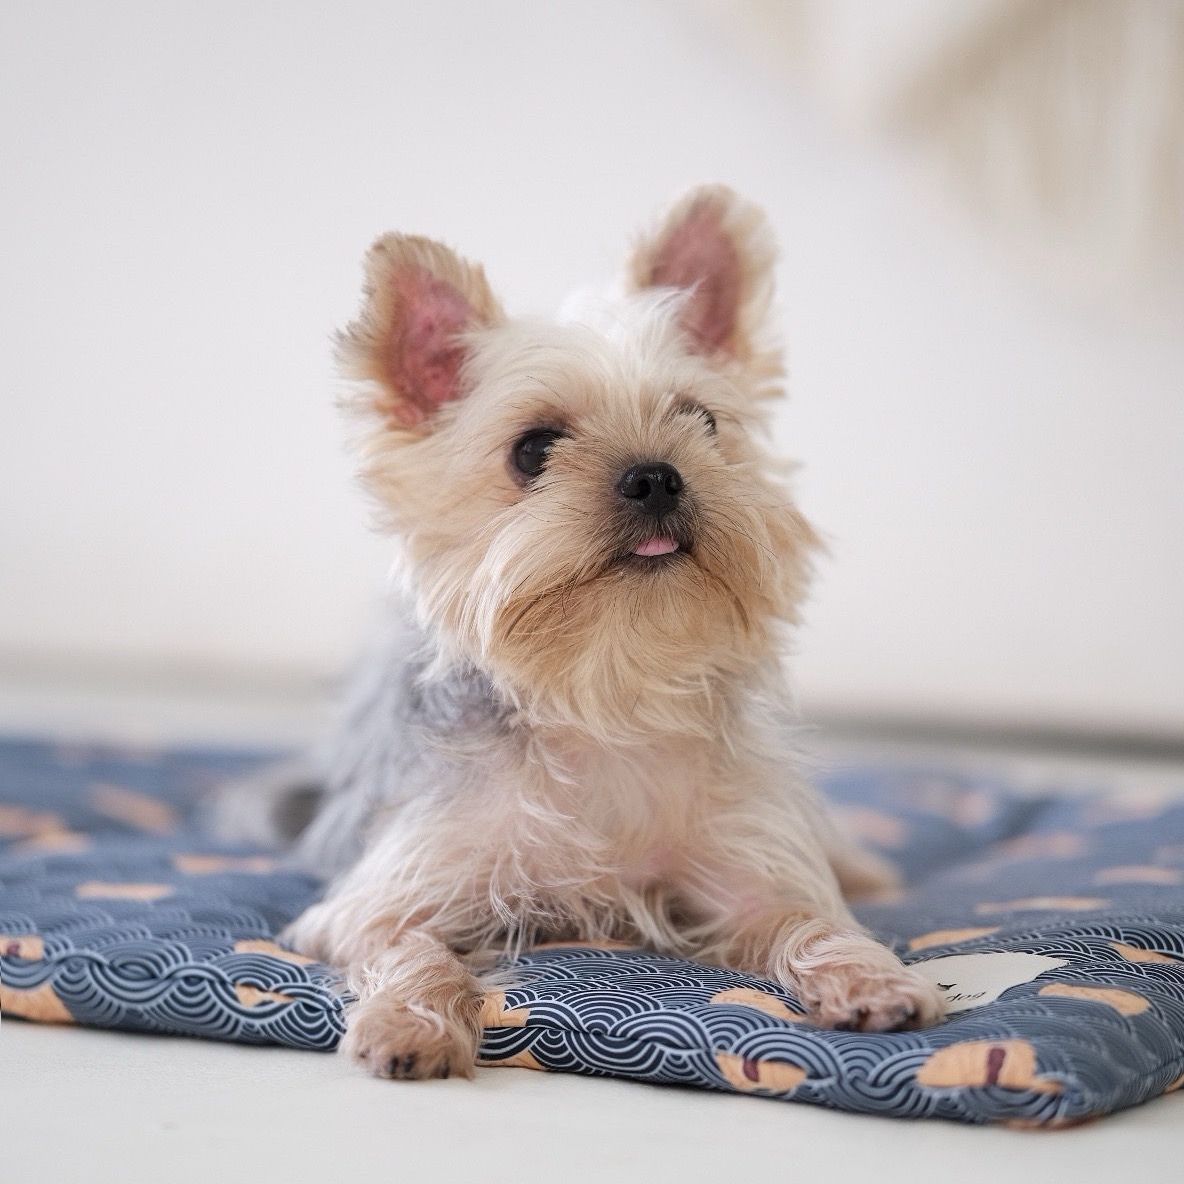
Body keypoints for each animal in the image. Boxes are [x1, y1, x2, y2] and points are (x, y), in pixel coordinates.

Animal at [217, 184, 947, 1084]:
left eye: (703, 422)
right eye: (534, 449)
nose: (656, 475)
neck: (606, 688)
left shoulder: (748, 869)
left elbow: (810, 921)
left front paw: (872, 979)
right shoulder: (378, 898)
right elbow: (413, 951)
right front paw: (409, 1027)